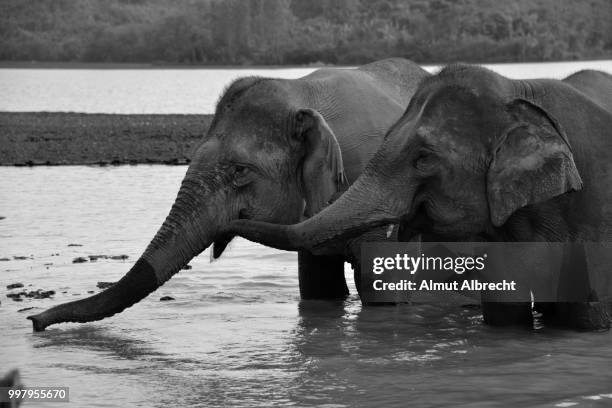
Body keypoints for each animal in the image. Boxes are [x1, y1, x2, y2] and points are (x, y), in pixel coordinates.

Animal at [28, 58, 430, 332]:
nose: (34, 321)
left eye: (239, 171)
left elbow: (382, 288)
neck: (300, 92)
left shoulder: (380, 187)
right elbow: (319, 287)